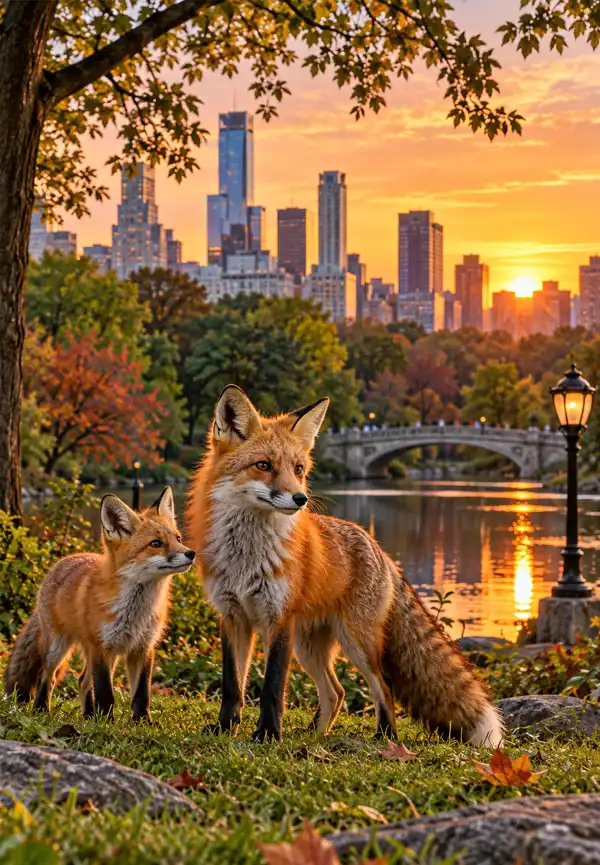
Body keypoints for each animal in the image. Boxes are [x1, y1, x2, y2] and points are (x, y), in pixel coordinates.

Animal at [5, 487, 195, 721]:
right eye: (156, 544)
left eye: (178, 538)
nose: (191, 553)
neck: (135, 613)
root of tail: (63, 560)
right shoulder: (101, 647)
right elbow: (105, 692)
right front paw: (106, 722)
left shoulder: (142, 647)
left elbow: (142, 693)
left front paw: (142, 722)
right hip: (58, 647)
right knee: (47, 676)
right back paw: (42, 709)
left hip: (106, 654)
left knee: (82, 680)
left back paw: (88, 716)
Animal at [186, 386, 503, 746]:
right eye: (263, 465)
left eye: (298, 469)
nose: (300, 500)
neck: (246, 557)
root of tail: (377, 546)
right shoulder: (232, 616)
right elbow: (232, 685)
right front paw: (225, 728)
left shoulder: (278, 620)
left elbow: (272, 689)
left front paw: (267, 734)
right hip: (309, 647)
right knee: (335, 692)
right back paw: (314, 736)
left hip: (357, 643)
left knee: (384, 687)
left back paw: (385, 738)